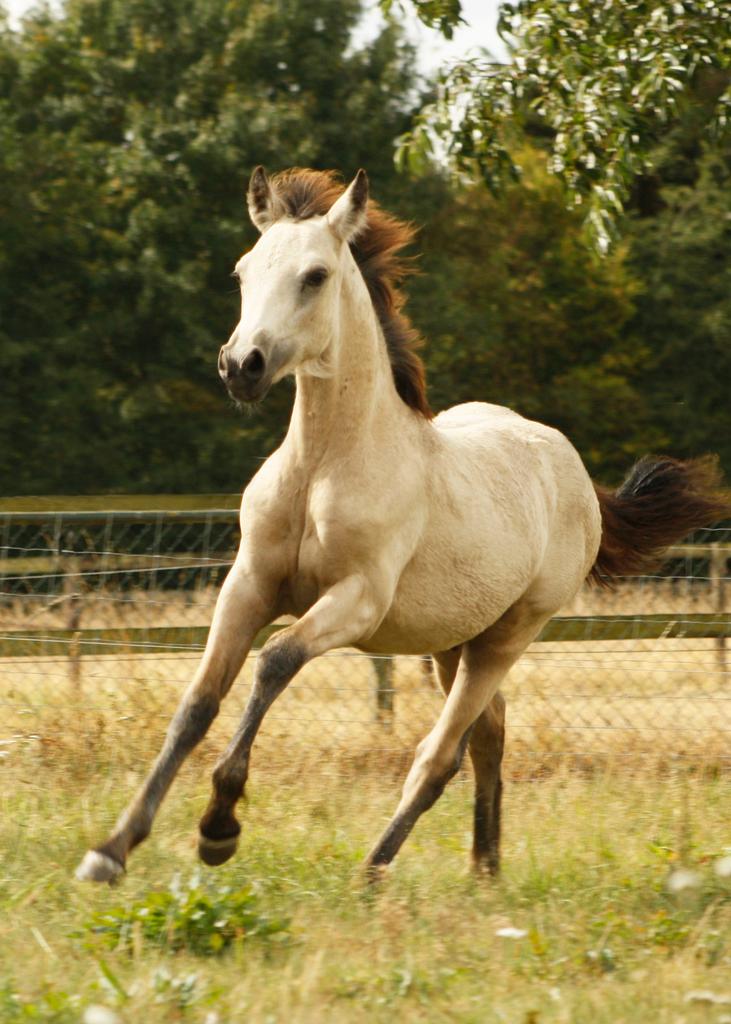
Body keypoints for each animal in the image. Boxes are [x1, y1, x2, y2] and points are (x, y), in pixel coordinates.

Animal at [77, 167, 729, 884]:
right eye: (243, 271)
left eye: (314, 276)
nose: (241, 366)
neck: (324, 467)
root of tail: (575, 473)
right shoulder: (247, 585)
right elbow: (196, 703)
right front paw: (111, 849)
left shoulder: (356, 601)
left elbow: (275, 661)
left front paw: (218, 828)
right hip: (452, 640)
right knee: (489, 734)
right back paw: (483, 867)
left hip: (509, 636)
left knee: (439, 753)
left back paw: (372, 871)